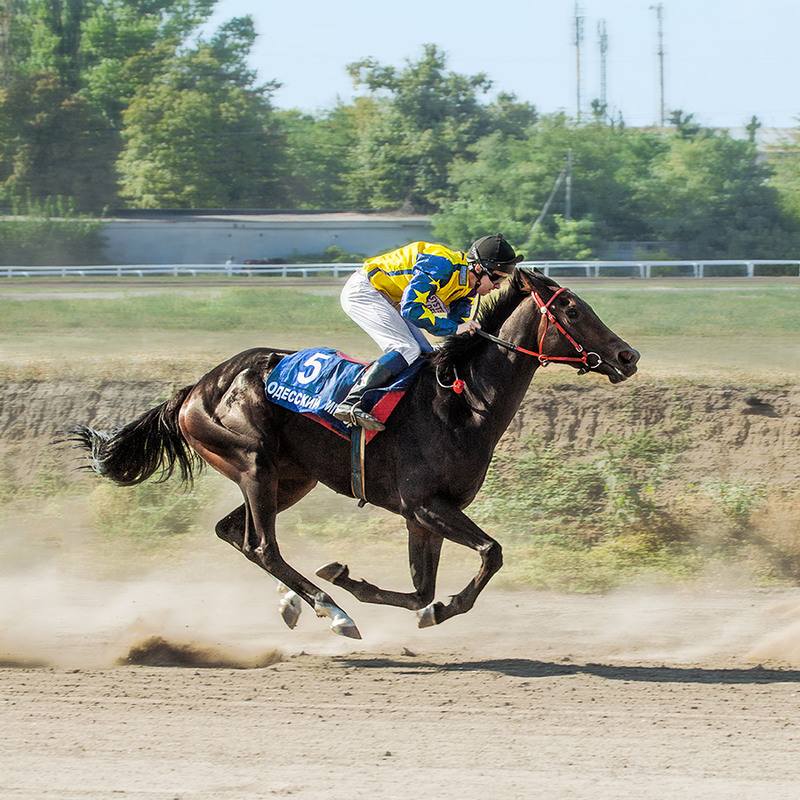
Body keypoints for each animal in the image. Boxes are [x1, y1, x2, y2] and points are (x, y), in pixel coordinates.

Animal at [70, 268, 644, 636]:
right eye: (572, 308)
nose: (628, 355)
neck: (461, 403)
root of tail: (194, 389)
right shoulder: (424, 503)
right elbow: (491, 552)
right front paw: (434, 604)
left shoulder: (423, 514)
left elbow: (421, 590)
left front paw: (381, 591)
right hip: (253, 463)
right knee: (262, 546)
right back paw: (333, 612)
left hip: (290, 478)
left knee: (234, 533)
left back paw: (298, 602)